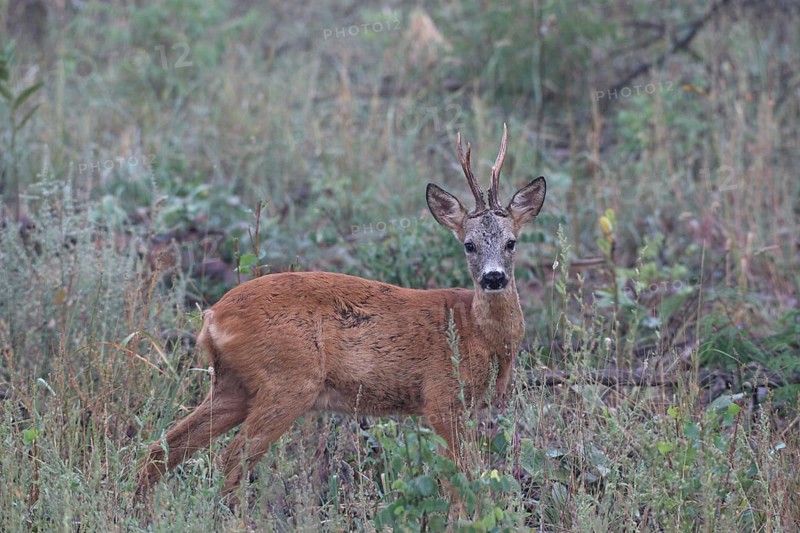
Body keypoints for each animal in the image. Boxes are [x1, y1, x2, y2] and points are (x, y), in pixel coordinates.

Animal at [136, 123, 546, 506]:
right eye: (468, 244)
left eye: (511, 242)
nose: (493, 277)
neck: (476, 332)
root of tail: (212, 317)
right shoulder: (442, 396)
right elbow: (461, 480)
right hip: (288, 380)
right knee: (230, 458)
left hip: (232, 385)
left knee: (162, 449)